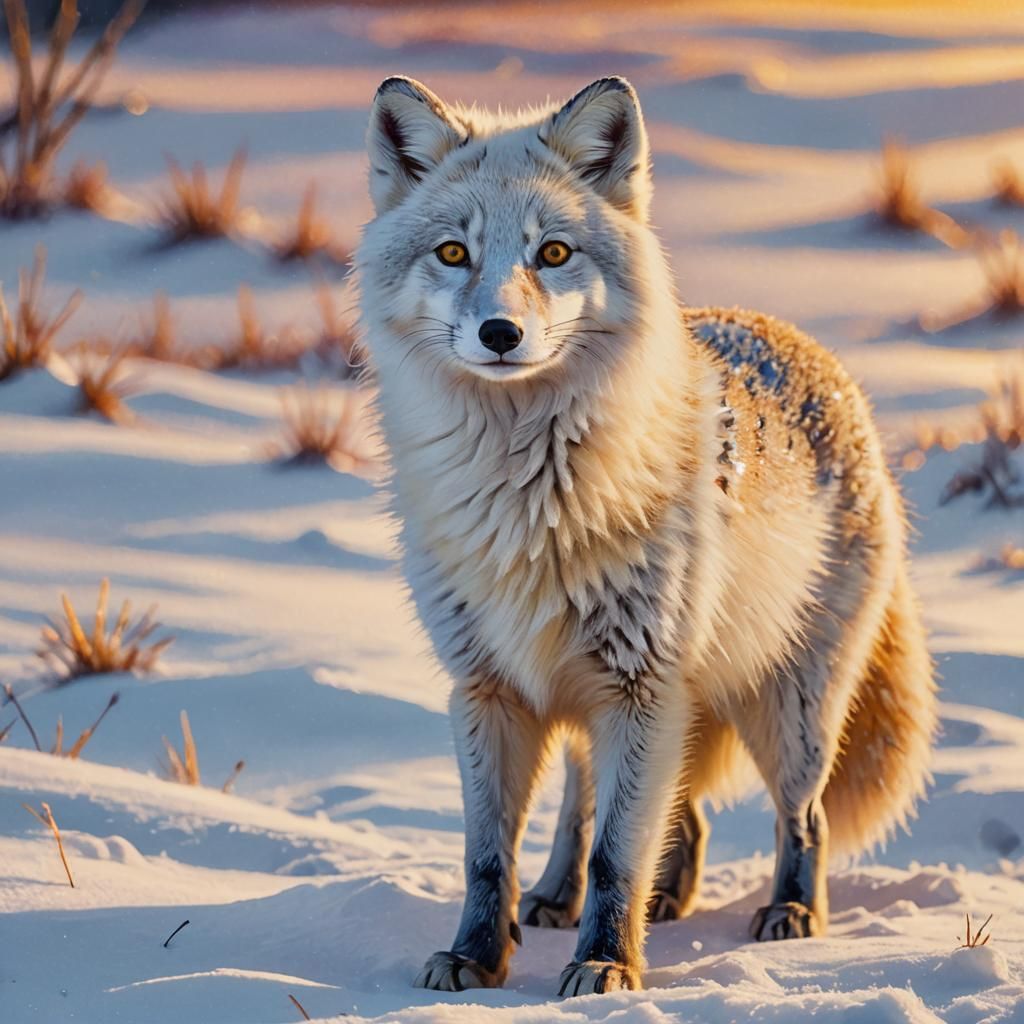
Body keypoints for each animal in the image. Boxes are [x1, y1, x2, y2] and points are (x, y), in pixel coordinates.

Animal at [354, 74, 937, 997]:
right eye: (452, 253)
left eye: (554, 254)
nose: (500, 334)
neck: (525, 504)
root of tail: (805, 349)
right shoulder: (487, 690)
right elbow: (490, 856)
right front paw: (476, 959)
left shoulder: (642, 686)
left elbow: (618, 858)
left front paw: (604, 967)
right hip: (609, 705)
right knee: (621, 813)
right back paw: (583, 899)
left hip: (786, 709)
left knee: (798, 817)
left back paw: (790, 916)